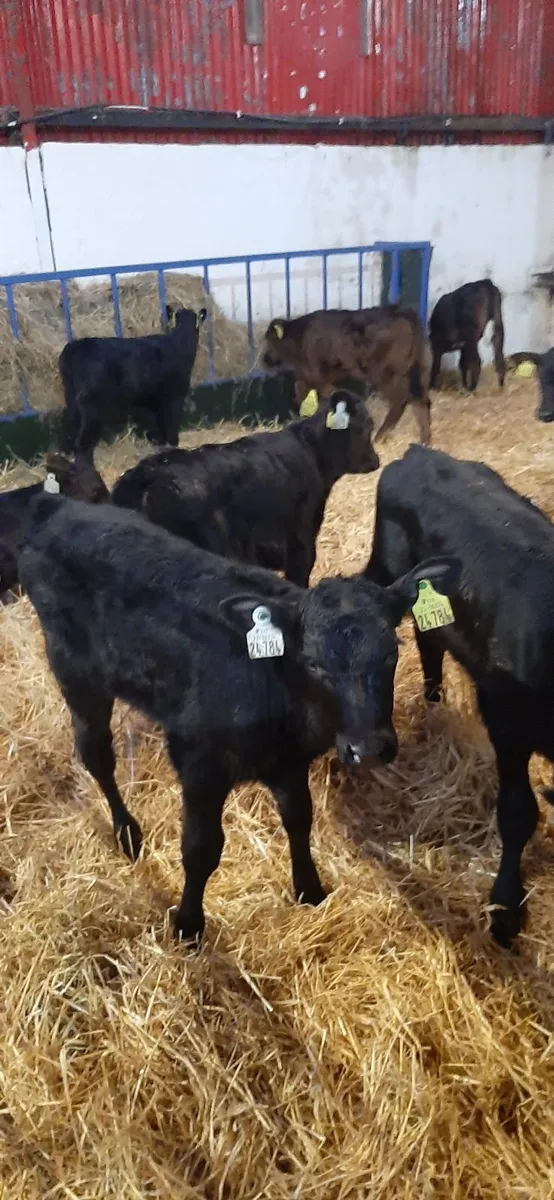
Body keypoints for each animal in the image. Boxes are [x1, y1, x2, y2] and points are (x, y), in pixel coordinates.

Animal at [19, 494, 458, 945]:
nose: (368, 749)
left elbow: (299, 820)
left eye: (391, 651)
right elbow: (200, 849)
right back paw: (127, 832)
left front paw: (309, 890)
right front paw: (188, 926)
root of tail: (60, 510)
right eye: (313, 663)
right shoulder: (199, 764)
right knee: (96, 754)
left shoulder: (288, 761)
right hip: (75, 673)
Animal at [59, 305, 207, 463]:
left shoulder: (153, 403)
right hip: (91, 407)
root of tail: (75, 348)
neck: (179, 343)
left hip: (72, 401)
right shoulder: (174, 398)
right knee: (83, 443)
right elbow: (171, 428)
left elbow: (159, 430)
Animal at [261, 305, 432, 446]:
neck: (301, 338)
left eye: (270, 341)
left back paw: (380, 437)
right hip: (419, 370)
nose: (265, 359)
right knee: (422, 401)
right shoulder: (307, 377)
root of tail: (403, 312)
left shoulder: (319, 378)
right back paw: (425, 440)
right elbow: (301, 397)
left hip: (388, 375)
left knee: (401, 401)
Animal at [366, 443, 554, 947]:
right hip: (385, 572)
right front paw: (505, 908)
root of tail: (418, 452)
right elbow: (517, 811)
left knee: (429, 640)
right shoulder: (506, 718)